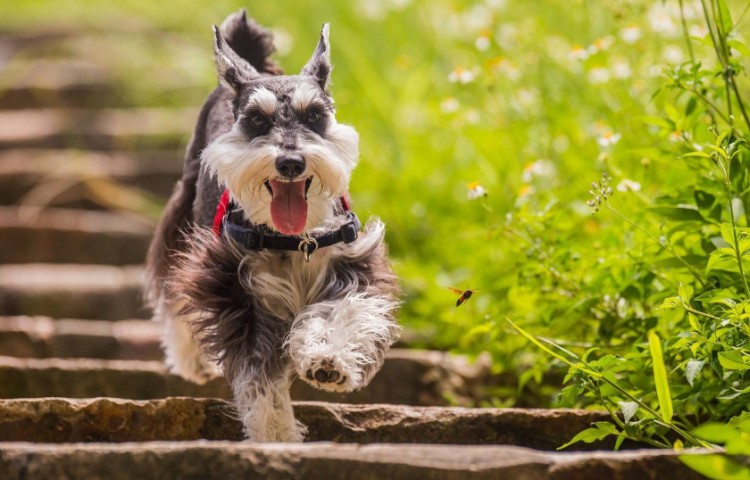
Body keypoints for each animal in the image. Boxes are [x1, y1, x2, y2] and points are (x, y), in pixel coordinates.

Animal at [148, 8, 406, 442]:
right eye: (256, 120)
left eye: (315, 115)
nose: (290, 162)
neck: (292, 239)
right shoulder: (236, 292)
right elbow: (259, 375)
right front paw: (276, 434)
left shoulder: (351, 264)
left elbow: (340, 312)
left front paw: (329, 360)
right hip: (182, 217)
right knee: (172, 292)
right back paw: (190, 359)